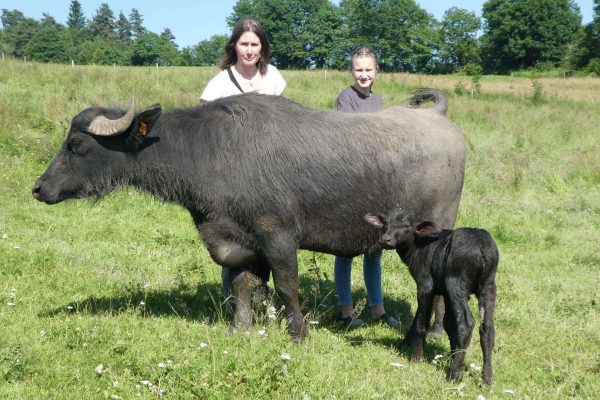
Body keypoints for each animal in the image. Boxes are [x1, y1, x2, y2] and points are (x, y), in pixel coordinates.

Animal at [30, 89, 466, 340]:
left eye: (76, 144)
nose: (38, 188)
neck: (211, 150)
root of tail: (440, 120)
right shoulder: (238, 238)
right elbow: (242, 284)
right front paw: (241, 328)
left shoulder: (277, 235)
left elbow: (287, 286)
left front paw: (297, 332)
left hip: (436, 232)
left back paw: (436, 335)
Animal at [366, 208, 496, 382]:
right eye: (385, 222)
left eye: (407, 225)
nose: (385, 239)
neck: (418, 246)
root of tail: (481, 245)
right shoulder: (443, 291)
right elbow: (448, 323)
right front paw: (452, 355)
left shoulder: (426, 286)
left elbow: (422, 323)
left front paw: (416, 358)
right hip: (488, 286)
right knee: (487, 328)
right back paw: (486, 379)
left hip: (457, 284)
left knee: (466, 323)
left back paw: (454, 375)